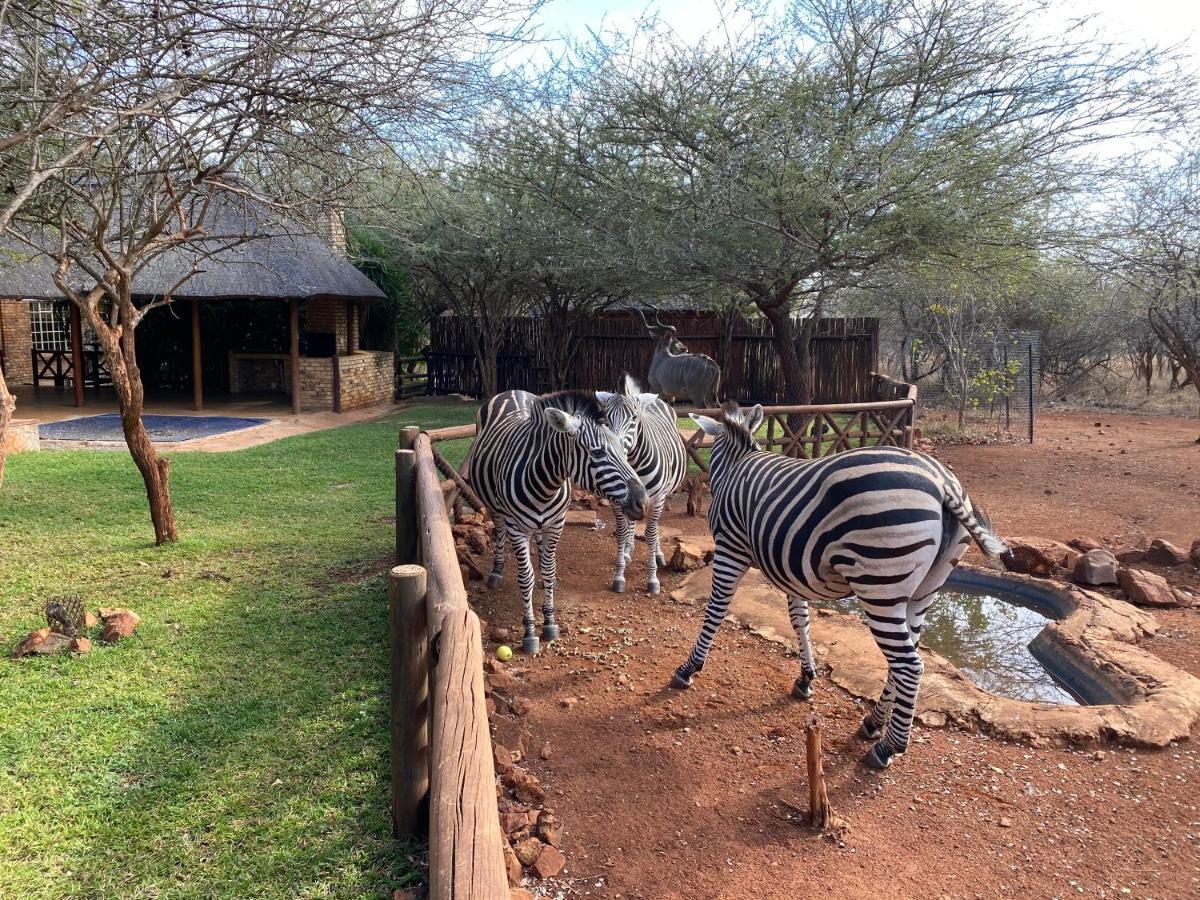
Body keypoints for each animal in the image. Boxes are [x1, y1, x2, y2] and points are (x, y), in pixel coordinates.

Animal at [472, 388, 652, 657]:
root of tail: (513, 391)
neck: (545, 486)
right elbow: (525, 577)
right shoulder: (517, 528)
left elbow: (548, 569)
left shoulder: (557, 524)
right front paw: (530, 631)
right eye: (597, 453)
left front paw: (549, 621)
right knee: (500, 531)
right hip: (496, 507)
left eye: (623, 450)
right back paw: (496, 571)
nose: (643, 502)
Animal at [595, 374, 691, 600]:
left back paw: (657, 554)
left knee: (655, 528)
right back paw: (627, 551)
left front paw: (652, 579)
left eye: (634, 419)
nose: (615, 453)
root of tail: (655, 400)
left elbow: (651, 533)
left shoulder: (657, 499)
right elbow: (621, 531)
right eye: (605, 420)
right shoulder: (618, 499)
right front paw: (619, 575)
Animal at [672, 405, 1008, 772]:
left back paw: (888, 747)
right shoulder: (791, 569)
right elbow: (800, 620)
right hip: (924, 590)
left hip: (880, 585)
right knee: (906, 659)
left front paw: (689, 668)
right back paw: (873, 722)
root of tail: (942, 482)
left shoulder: (730, 548)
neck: (737, 464)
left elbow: (716, 610)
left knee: (910, 665)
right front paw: (806, 678)